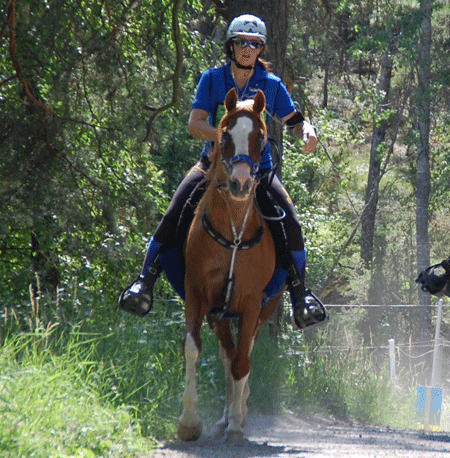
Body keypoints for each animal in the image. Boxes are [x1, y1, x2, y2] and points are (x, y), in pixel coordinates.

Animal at [177, 87, 284, 442]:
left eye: (261, 139)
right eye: (224, 136)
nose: (240, 183)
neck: (234, 230)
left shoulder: (251, 303)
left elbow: (242, 362)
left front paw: (238, 425)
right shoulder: (197, 294)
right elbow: (193, 348)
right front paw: (189, 422)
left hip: (259, 310)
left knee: (241, 355)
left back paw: (238, 414)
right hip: (219, 313)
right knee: (228, 353)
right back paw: (224, 417)